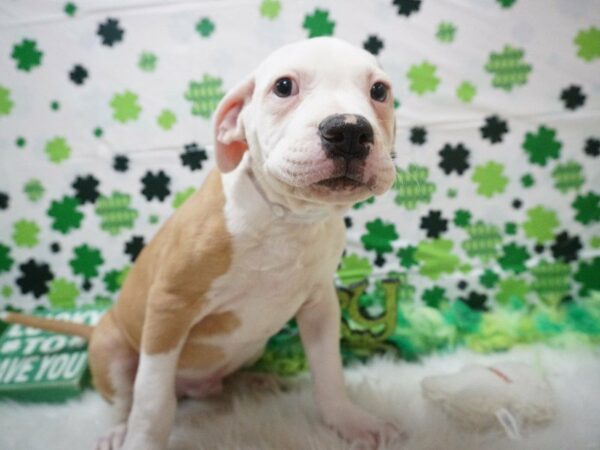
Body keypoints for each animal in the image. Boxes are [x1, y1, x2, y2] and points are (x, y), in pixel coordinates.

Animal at [4, 37, 400, 450]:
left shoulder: (320, 305)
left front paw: (351, 421)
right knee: (124, 399)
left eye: (379, 91)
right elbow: (151, 400)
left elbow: (329, 373)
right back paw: (118, 430)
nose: (350, 130)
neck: (285, 220)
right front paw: (141, 440)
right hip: (112, 346)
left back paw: (258, 381)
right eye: (283, 86)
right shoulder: (169, 307)